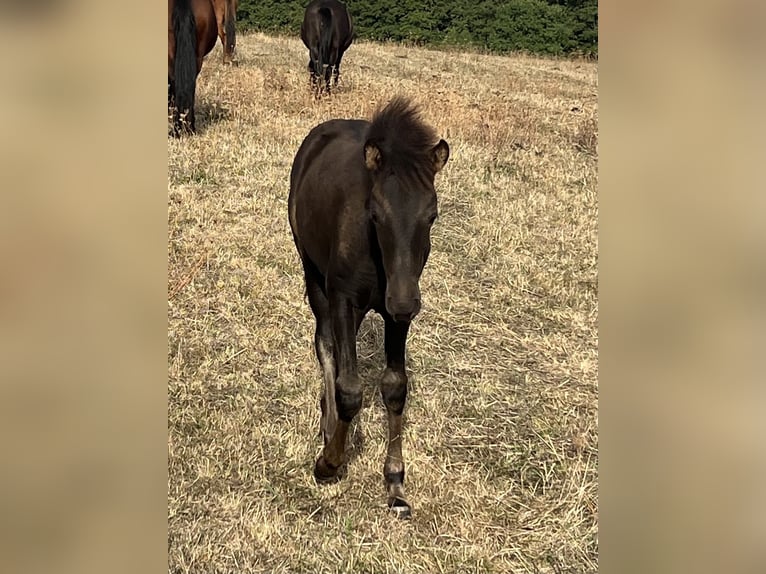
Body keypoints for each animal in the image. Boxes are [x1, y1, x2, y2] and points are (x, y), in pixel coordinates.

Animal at [288, 97, 450, 518]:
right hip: (313, 274)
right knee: (325, 343)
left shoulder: (397, 311)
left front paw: (395, 483)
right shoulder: (343, 299)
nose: (405, 302)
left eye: (432, 215)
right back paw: (329, 426)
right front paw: (328, 462)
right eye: (375, 214)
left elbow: (394, 386)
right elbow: (349, 388)